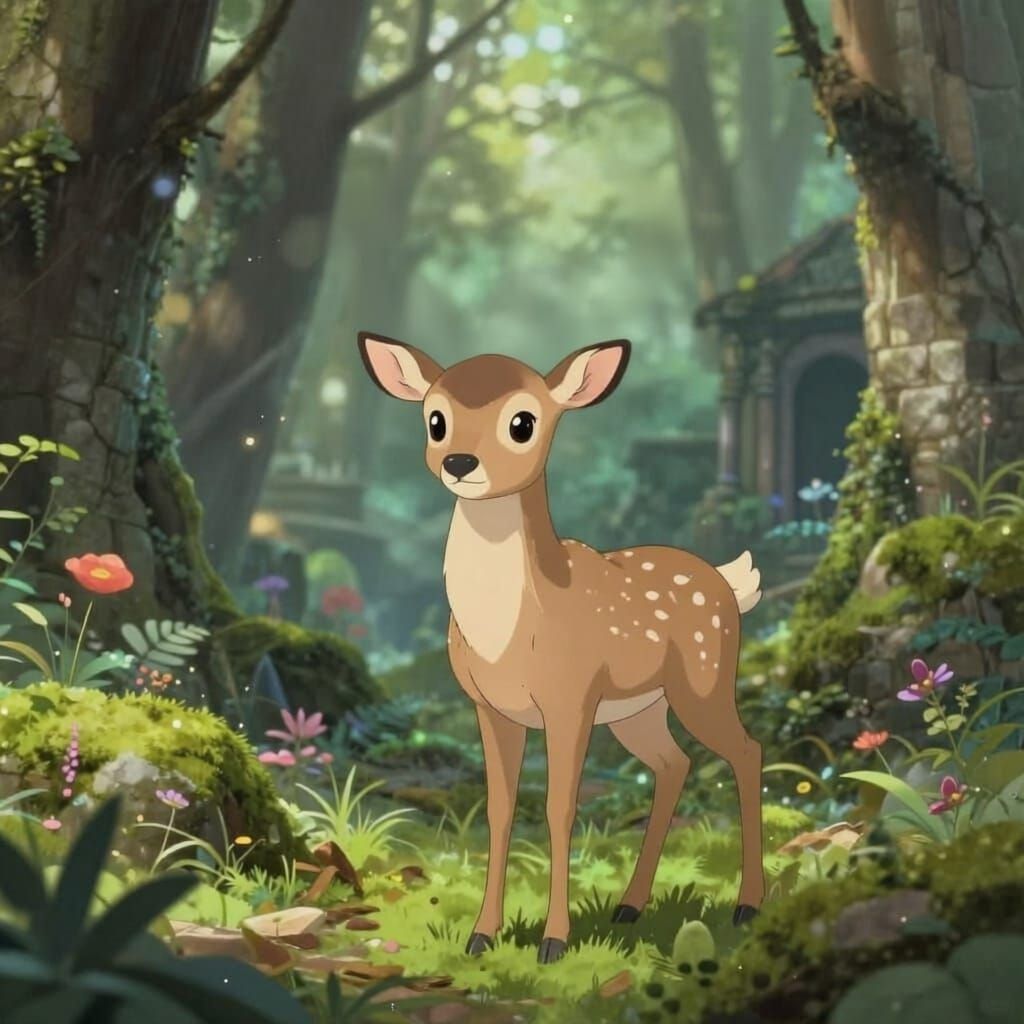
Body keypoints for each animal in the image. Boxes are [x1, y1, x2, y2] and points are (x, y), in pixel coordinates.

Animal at [358, 333, 765, 964]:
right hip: (639, 710)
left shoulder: (570, 698)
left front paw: (554, 940)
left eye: (523, 422)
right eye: (435, 419)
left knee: (747, 751)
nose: (459, 463)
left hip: (704, 680)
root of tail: (728, 580)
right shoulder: (490, 707)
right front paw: (482, 934)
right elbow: (500, 808)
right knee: (674, 764)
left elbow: (558, 807)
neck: (510, 634)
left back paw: (747, 905)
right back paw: (630, 906)